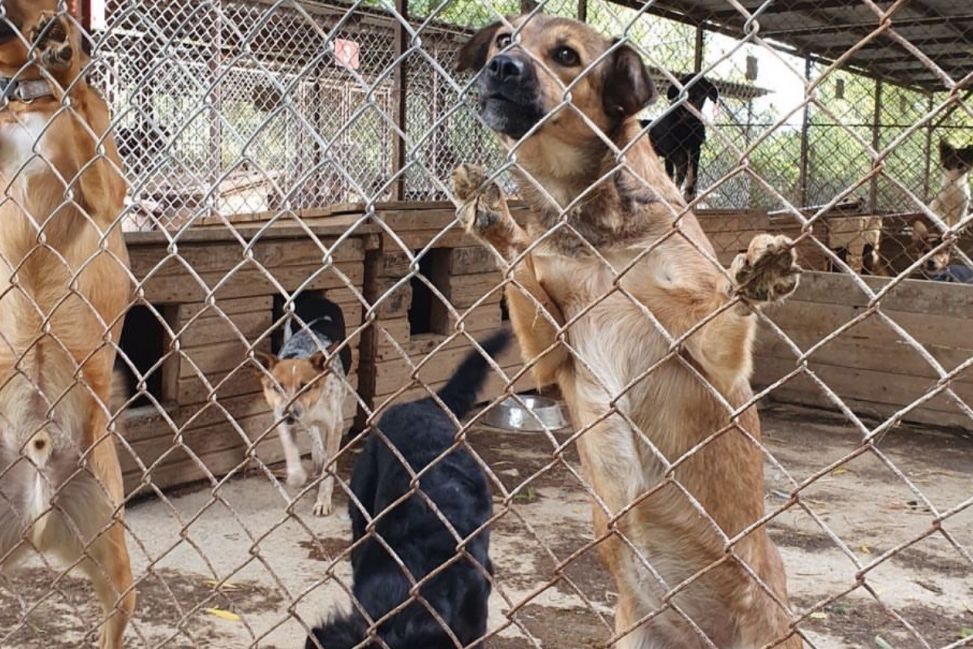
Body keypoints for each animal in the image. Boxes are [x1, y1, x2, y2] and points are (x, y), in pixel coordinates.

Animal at [256, 294, 352, 516]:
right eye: (277, 387)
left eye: (305, 386)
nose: (290, 414)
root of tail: (316, 296)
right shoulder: (279, 416)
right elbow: (291, 447)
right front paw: (296, 475)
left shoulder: (335, 424)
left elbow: (329, 468)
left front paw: (323, 500)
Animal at [640, 73, 716, 202]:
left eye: (702, 93)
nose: (689, 109)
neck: (686, 124)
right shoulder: (674, 154)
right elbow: (673, 177)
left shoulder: (694, 149)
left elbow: (692, 173)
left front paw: (689, 194)